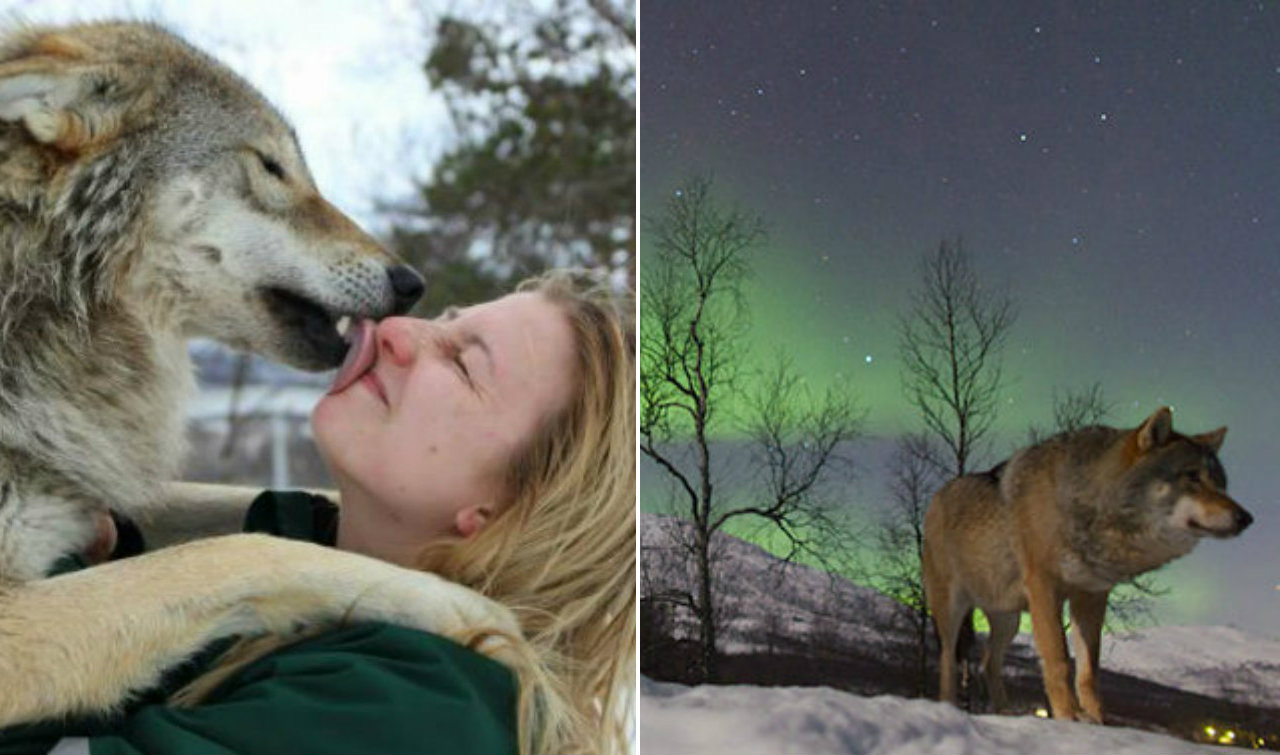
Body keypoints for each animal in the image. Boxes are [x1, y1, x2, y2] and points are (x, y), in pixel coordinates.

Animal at [922, 407, 1252, 723]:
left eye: (1222, 484)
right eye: (1192, 477)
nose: (1246, 518)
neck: (1089, 503)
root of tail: (936, 496)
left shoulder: (1091, 597)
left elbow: (1089, 670)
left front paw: (1096, 719)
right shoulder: (1044, 587)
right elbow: (1058, 659)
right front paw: (1068, 716)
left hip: (1009, 620)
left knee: (988, 662)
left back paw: (1004, 712)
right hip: (952, 612)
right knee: (948, 660)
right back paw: (948, 706)